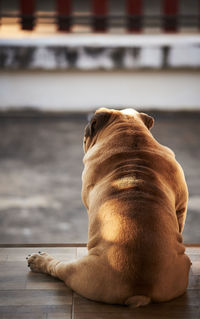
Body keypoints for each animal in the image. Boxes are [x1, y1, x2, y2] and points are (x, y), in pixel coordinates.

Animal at [26, 109, 191, 308]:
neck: (132, 140)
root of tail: (140, 290)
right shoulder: (182, 205)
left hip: (76, 270)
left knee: (57, 268)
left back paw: (40, 260)